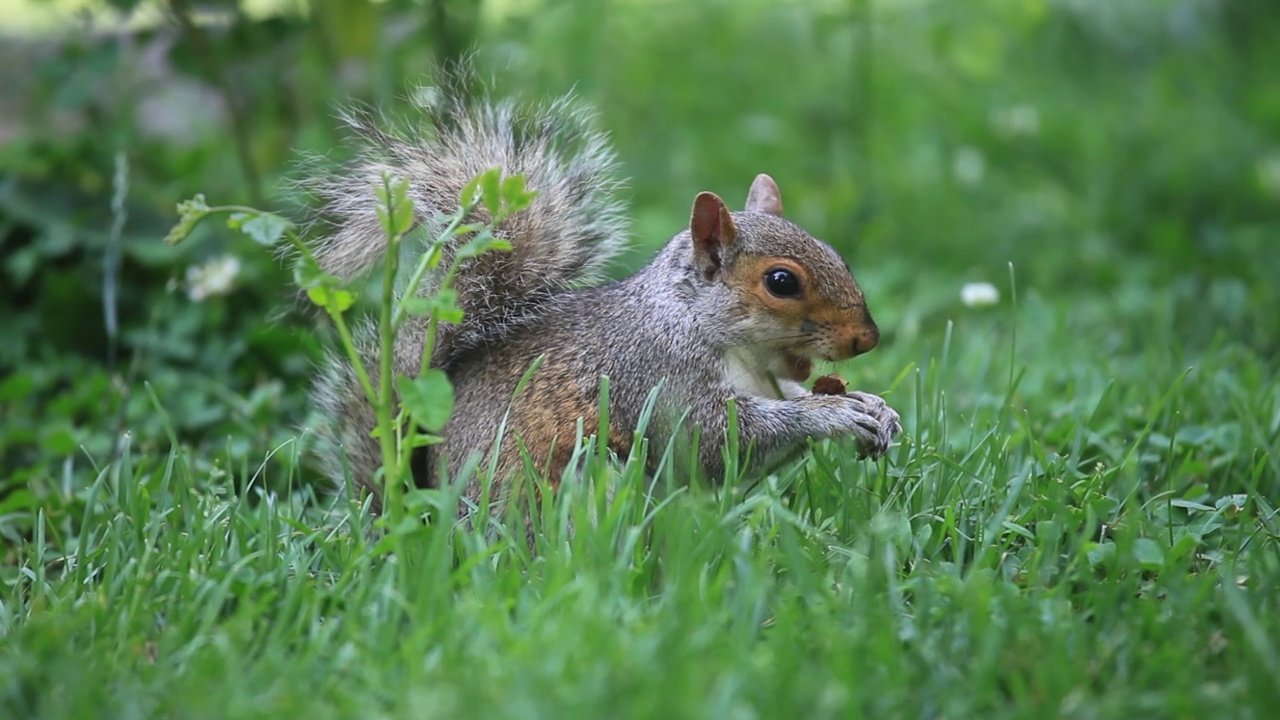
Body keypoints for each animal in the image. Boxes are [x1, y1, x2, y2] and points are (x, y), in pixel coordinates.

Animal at [299, 70, 901, 509]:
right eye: (781, 281)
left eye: (837, 253)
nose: (867, 339)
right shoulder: (657, 374)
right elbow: (714, 441)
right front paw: (832, 415)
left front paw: (872, 406)